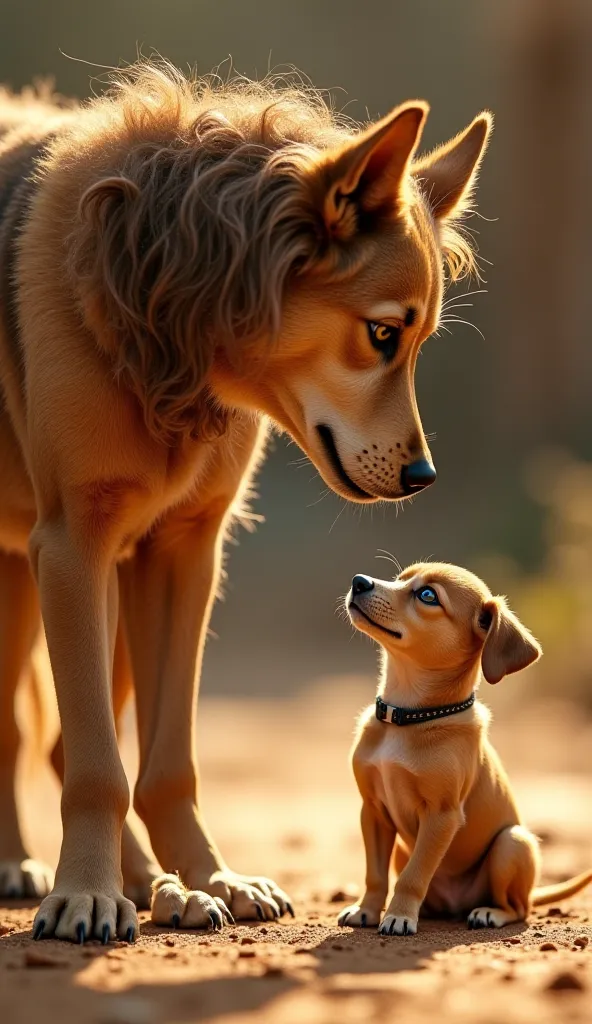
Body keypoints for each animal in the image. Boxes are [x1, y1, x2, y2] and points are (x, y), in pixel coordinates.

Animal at [0, 64, 487, 942]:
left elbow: (165, 761)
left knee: (43, 736)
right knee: (30, 732)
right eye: (383, 334)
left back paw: (153, 883)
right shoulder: (73, 543)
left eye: (418, 340)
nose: (423, 475)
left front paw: (206, 878)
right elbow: (95, 762)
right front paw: (84, 893)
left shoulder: (182, 551)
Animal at [335, 565, 589, 933]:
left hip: (512, 843)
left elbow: (413, 876)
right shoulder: (373, 810)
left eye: (427, 595)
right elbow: (375, 875)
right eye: (400, 578)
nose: (359, 582)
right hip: (402, 850)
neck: (408, 717)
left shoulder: (442, 815)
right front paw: (367, 910)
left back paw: (489, 913)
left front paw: (399, 916)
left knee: (518, 907)